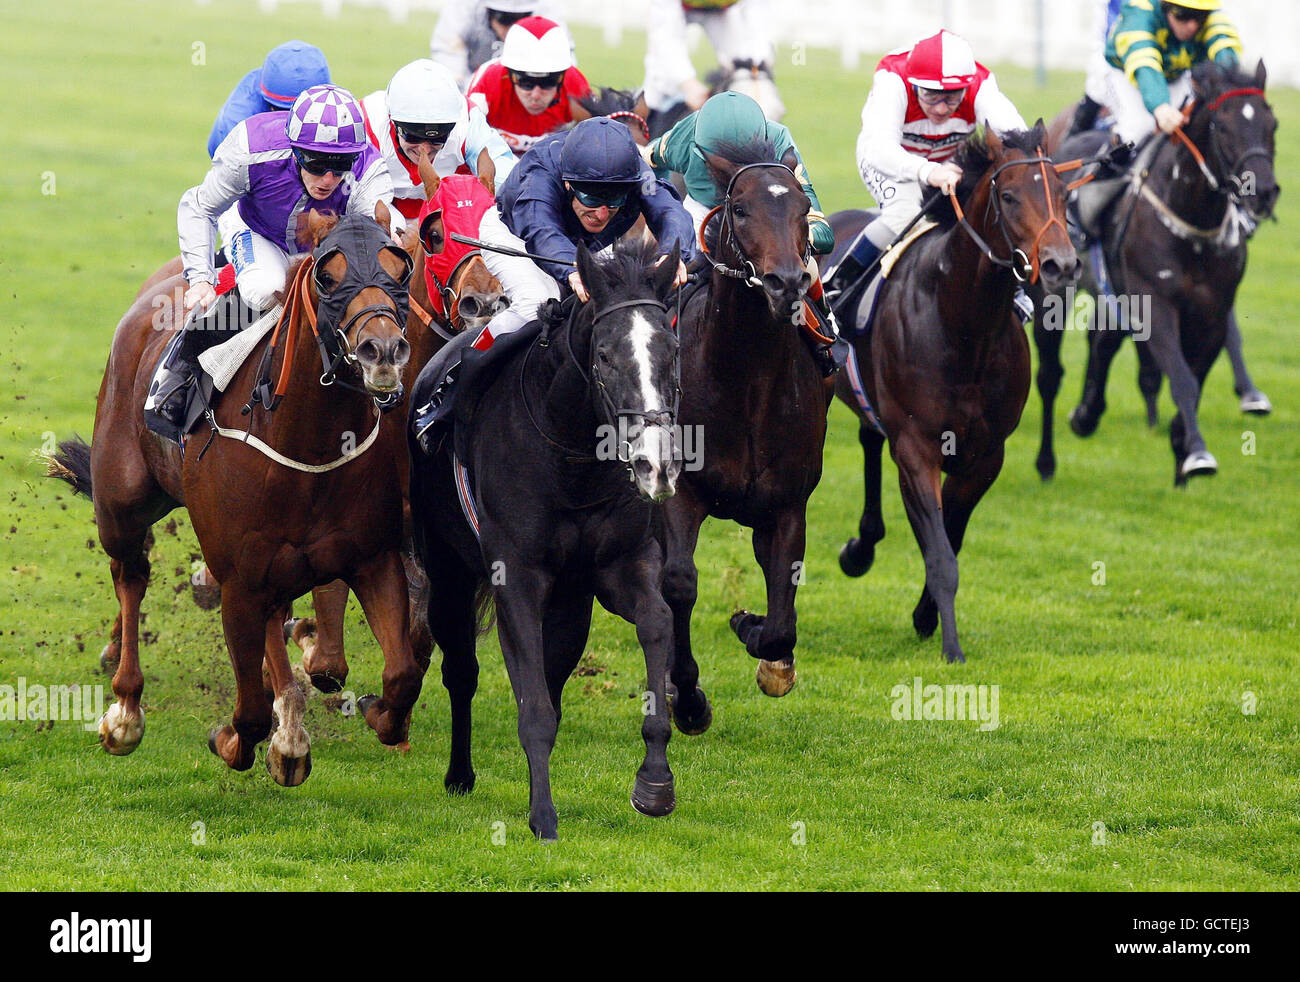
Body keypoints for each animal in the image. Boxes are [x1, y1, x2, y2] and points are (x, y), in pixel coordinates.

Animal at [49, 213, 426, 785]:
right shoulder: (239, 582)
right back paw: (126, 711)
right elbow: (247, 712)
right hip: (122, 504)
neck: (307, 444)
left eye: (398, 270)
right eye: (327, 277)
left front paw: (370, 712)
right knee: (130, 574)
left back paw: (289, 728)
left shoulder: (372, 558)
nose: (382, 351)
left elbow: (402, 675)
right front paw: (232, 739)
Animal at [410, 240, 686, 842]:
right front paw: (543, 818)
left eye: (671, 350)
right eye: (604, 356)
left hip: (570, 603)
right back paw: (459, 775)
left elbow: (657, 623)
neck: (571, 455)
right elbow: (531, 705)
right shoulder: (516, 575)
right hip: (447, 572)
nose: (656, 465)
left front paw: (655, 784)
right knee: (462, 672)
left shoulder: (621, 565)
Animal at [660, 140, 832, 712]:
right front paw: (688, 698)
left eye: (803, 209)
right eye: (739, 209)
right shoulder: (681, 491)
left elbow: (780, 619)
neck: (749, 383)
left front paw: (754, 632)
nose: (787, 283)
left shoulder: (787, 504)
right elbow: (678, 582)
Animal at [1034, 60, 1279, 483]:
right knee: (1050, 374)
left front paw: (1182, 450)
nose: (1263, 191)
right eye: (1223, 127)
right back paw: (1047, 461)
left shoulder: (1212, 311)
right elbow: (1182, 379)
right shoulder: (1156, 303)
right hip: (1055, 293)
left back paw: (1087, 414)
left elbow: (1202, 368)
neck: (1192, 221)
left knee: (1103, 342)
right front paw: (1198, 455)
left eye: (1272, 124)